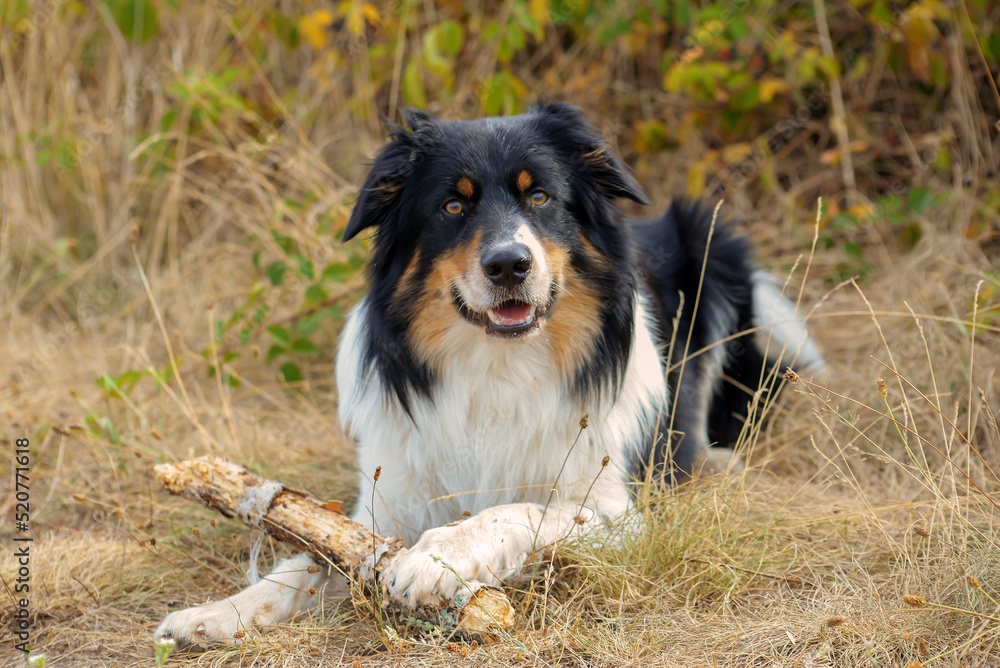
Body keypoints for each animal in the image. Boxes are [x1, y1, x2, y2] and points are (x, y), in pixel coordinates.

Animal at [154, 104, 820, 648]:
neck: (499, 365)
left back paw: (717, 462)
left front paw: (439, 556)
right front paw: (216, 614)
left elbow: (521, 509)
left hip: (714, 247)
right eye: (453, 205)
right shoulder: (383, 509)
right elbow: (307, 561)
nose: (509, 265)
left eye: (541, 197)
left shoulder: (619, 512)